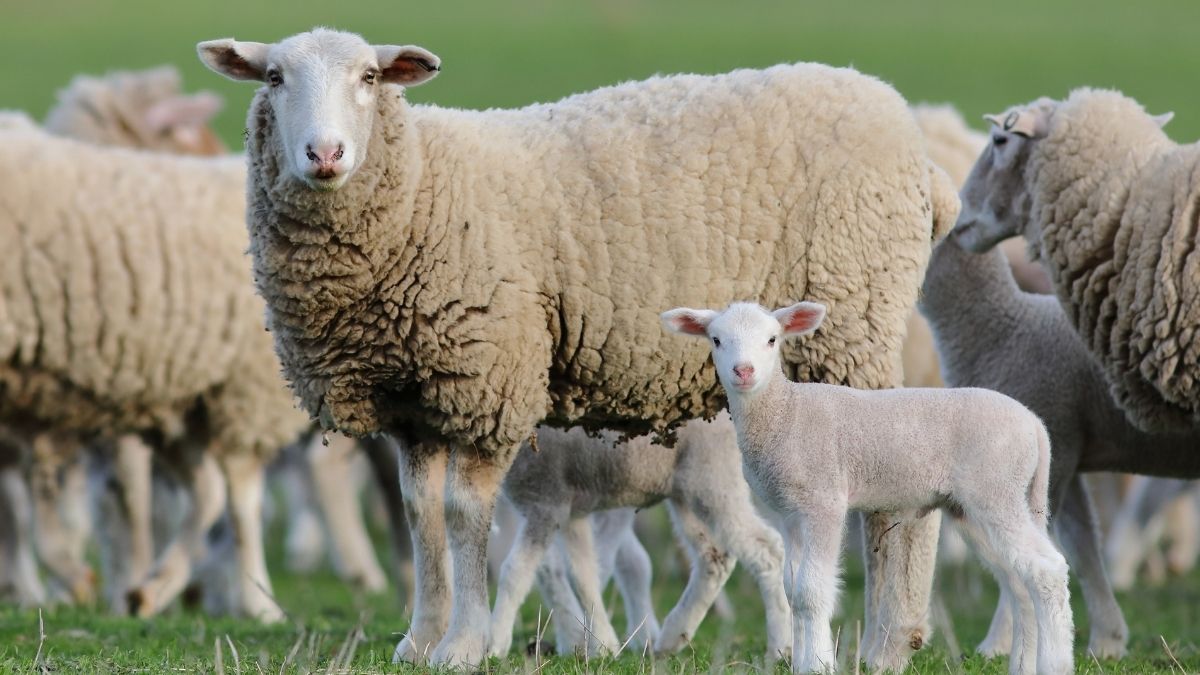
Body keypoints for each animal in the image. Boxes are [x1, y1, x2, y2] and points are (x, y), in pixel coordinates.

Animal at [490, 414, 790, 661]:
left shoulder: (547, 504)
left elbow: (515, 572)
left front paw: (495, 645)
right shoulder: (571, 513)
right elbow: (583, 575)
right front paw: (600, 644)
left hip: (714, 478)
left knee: (767, 549)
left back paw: (780, 647)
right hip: (686, 492)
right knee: (715, 555)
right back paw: (673, 636)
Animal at [662, 301, 1074, 675]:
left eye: (772, 339)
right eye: (716, 340)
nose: (743, 371)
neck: (785, 412)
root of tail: (1034, 425)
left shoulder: (823, 501)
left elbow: (812, 591)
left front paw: (819, 664)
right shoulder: (789, 513)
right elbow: (793, 590)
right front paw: (802, 661)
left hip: (996, 491)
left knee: (1048, 570)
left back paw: (1054, 664)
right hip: (977, 506)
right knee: (1020, 581)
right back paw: (1023, 664)